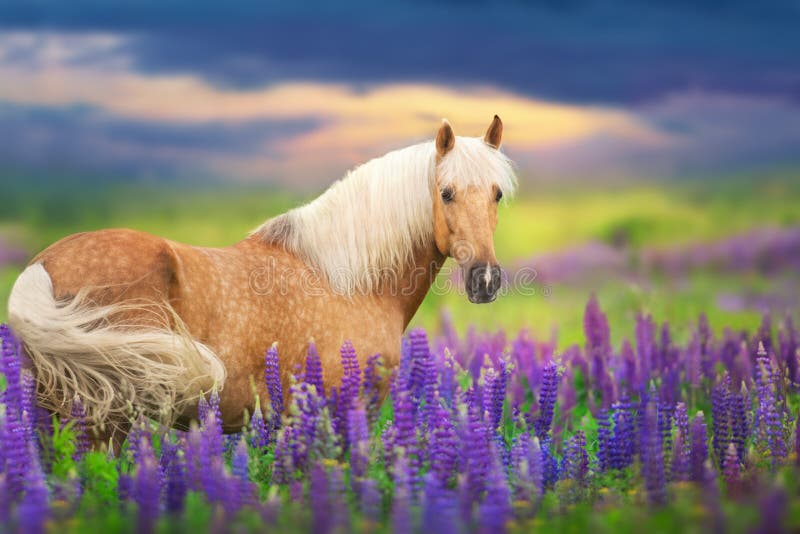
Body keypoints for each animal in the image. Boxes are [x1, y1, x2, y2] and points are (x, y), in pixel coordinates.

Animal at [6, 115, 516, 450]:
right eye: (446, 193)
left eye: (497, 194)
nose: (486, 279)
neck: (349, 281)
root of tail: (43, 265)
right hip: (101, 422)